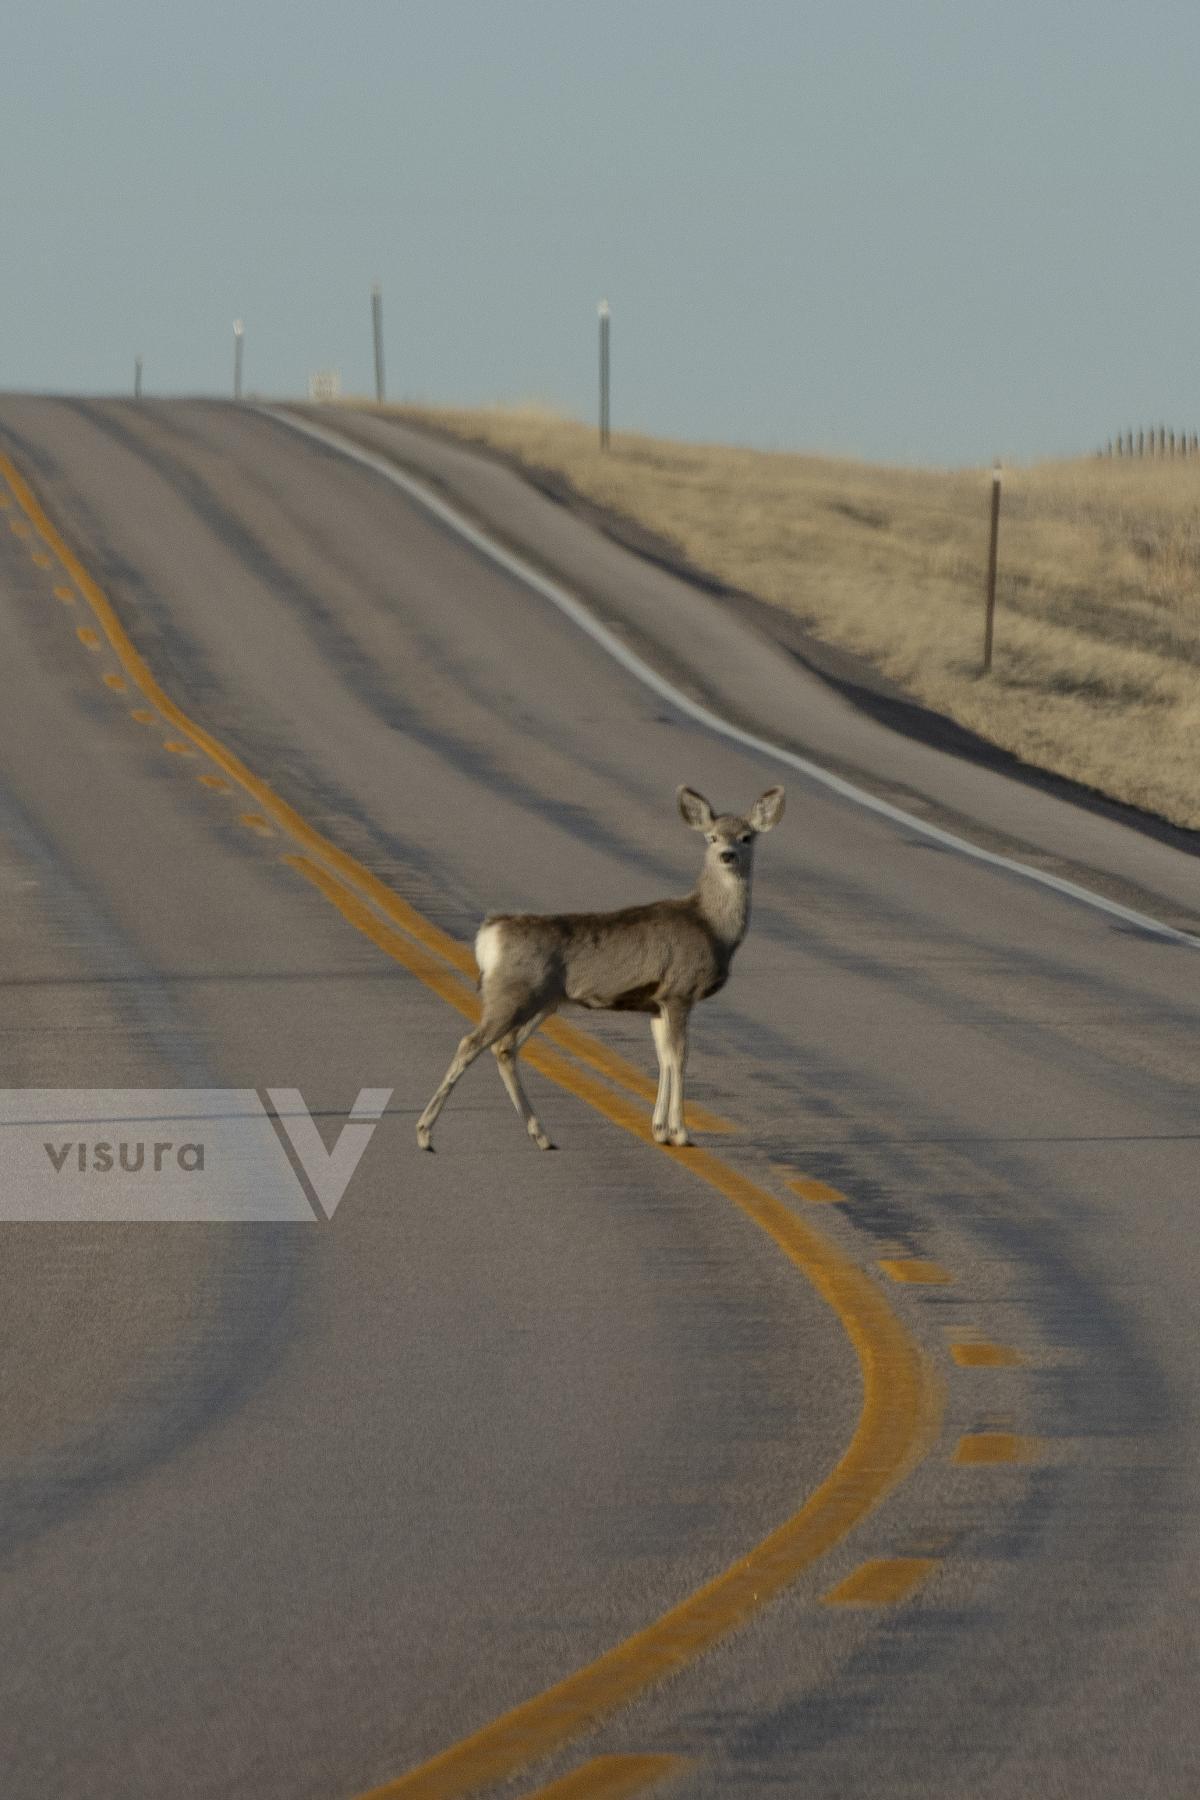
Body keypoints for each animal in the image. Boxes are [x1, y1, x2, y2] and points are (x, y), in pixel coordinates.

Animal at [416, 784, 784, 1152]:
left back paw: (541, 1135)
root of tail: (490, 934)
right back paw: (425, 1133)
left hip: (541, 1001)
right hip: (512, 994)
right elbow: (680, 1057)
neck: (712, 927)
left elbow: (664, 1058)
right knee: (471, 1043)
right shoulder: (679, 991)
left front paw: (659, 1129)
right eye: (712, 836)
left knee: (504, 1048)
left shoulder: (656, 1002)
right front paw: (681, 1133)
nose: (728, 855)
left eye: (747, 837)